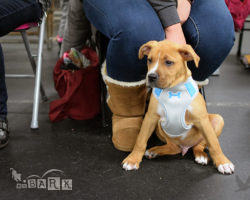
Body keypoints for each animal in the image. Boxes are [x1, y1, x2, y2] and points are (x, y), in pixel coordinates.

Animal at [121, 40, 234, 173]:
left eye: (169, 62)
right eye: (149, 60)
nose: (151, 76)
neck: (173, 90)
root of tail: (185, 147)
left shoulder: (202, 120)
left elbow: (214, 143)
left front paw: (223, 162)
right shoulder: (150, 118)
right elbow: (140, 140)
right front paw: (132, 159)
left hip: (217, 120)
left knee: (200, 144)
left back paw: (200, 155)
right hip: (160, 128)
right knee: (174, 147)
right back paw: (155, 151)